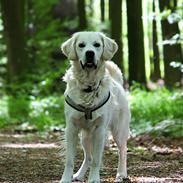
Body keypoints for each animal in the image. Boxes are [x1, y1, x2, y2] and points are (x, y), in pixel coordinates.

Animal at [59, 32, 130, 182]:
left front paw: (94, 178)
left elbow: (97, 160)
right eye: (81, 45)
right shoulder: (71, 129)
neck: (88, 86)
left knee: (122, 151)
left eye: (97, 45)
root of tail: (118, 82)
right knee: (88, 157)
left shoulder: (100, 130)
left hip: (119, 131)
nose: (90, 53)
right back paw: (79, 175)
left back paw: (121, 173)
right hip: (84, 137)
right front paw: (66, 178)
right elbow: (70, 160)